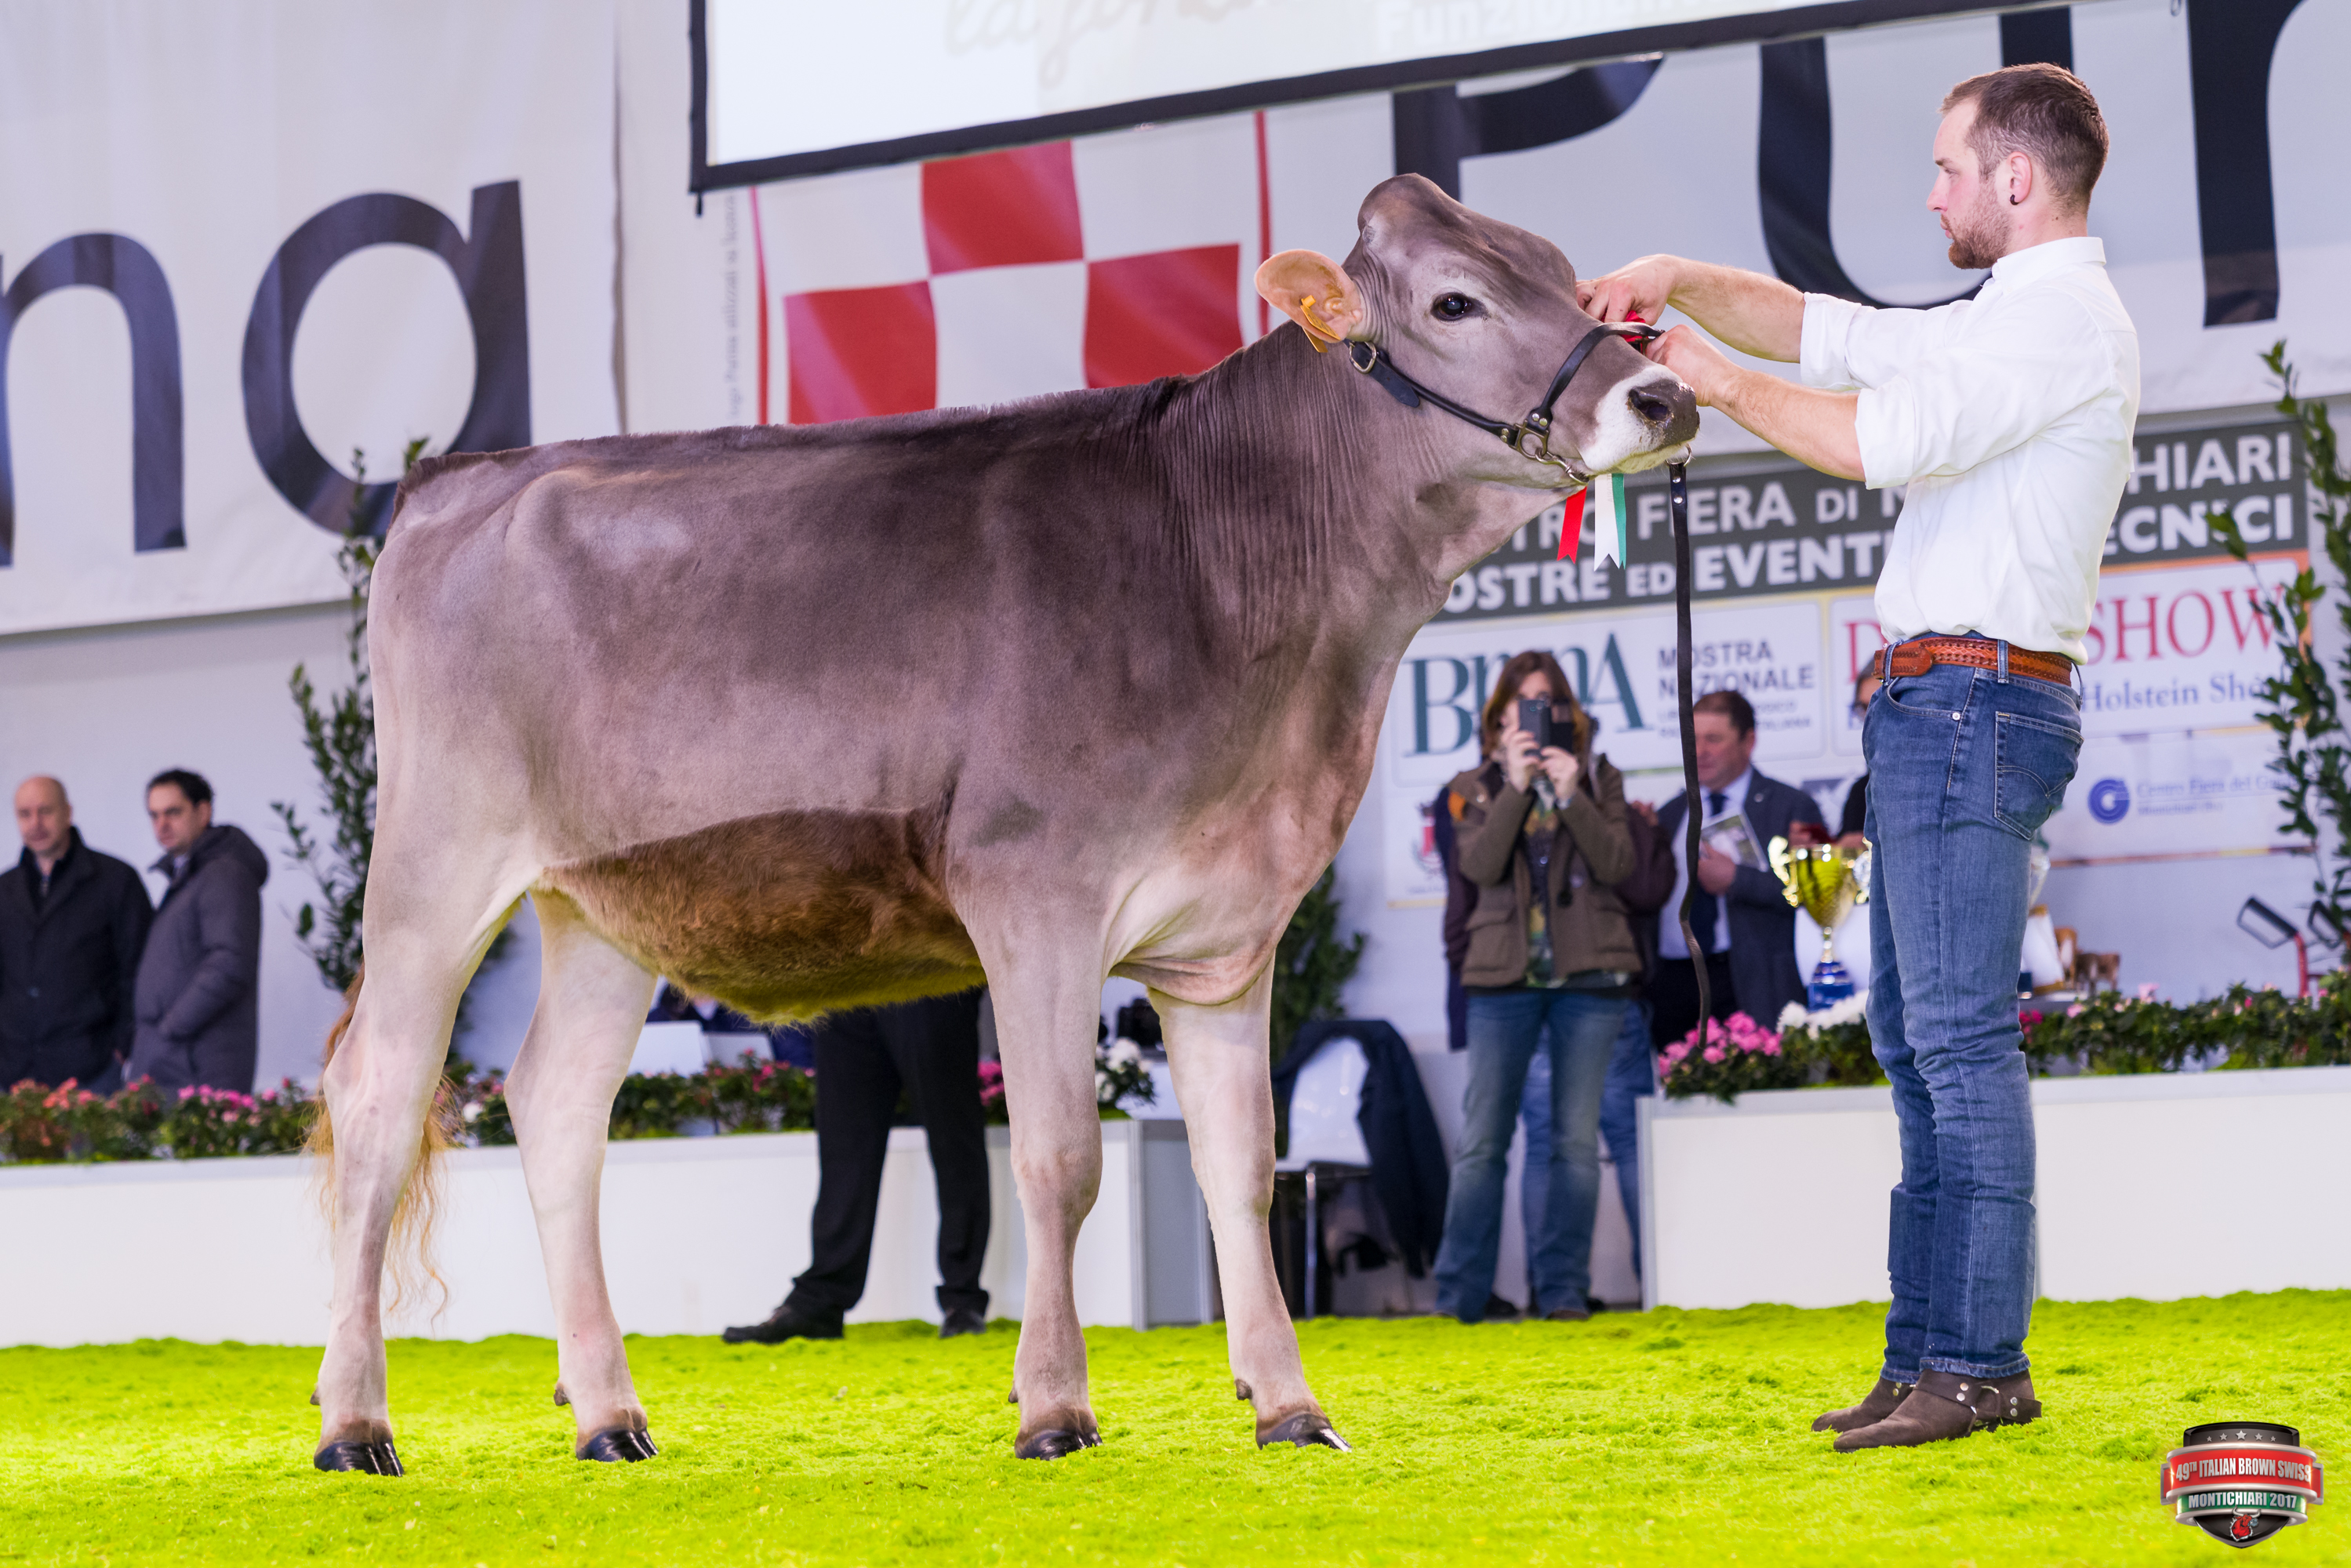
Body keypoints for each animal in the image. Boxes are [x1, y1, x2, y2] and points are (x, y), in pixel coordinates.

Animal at [308, 173, 1697, 1474]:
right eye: (1455, 303)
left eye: (1569, 280)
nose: (1662, 397)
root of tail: (456, 477)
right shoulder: (1035, 894)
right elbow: (1060, 1159)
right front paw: (1054, 1409)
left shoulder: (1226, 931)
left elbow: (1239, 1168)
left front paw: (1289, 1406)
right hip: (439, 861)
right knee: (378, 1099)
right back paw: (356, 1423)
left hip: (600, 902)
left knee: (556, 1110)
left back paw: (607, 1416)